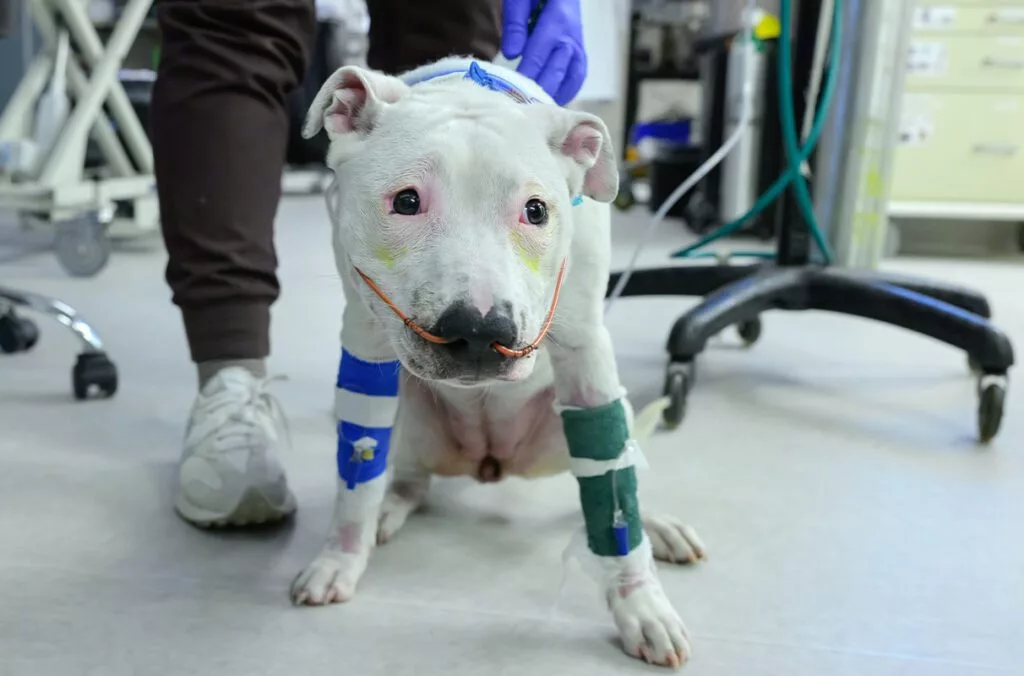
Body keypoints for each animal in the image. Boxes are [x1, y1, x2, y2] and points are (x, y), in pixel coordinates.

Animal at [288, 55, 704, 667]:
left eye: (536, 210)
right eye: (406, 201)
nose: (480, 333)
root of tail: (489, 464)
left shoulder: (585, 353)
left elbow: (612, 499)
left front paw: (640, 603)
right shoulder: (363, 342)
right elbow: (354, 482)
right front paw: (340, 556)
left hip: (587, 420)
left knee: (610, 473)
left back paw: (660, 526)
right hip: (409, 410)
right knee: (405, 475)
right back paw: (390, 505)